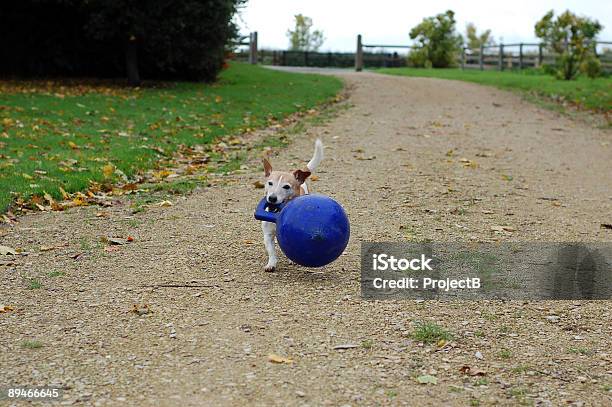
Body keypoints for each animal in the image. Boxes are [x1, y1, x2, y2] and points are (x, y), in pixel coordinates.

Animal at [260, 139, 322, 272]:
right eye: (270, 183)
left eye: (286, 186)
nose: (272, 198)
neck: (277, 214)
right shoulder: (268, 235)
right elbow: (271, 251)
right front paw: (271, 264)